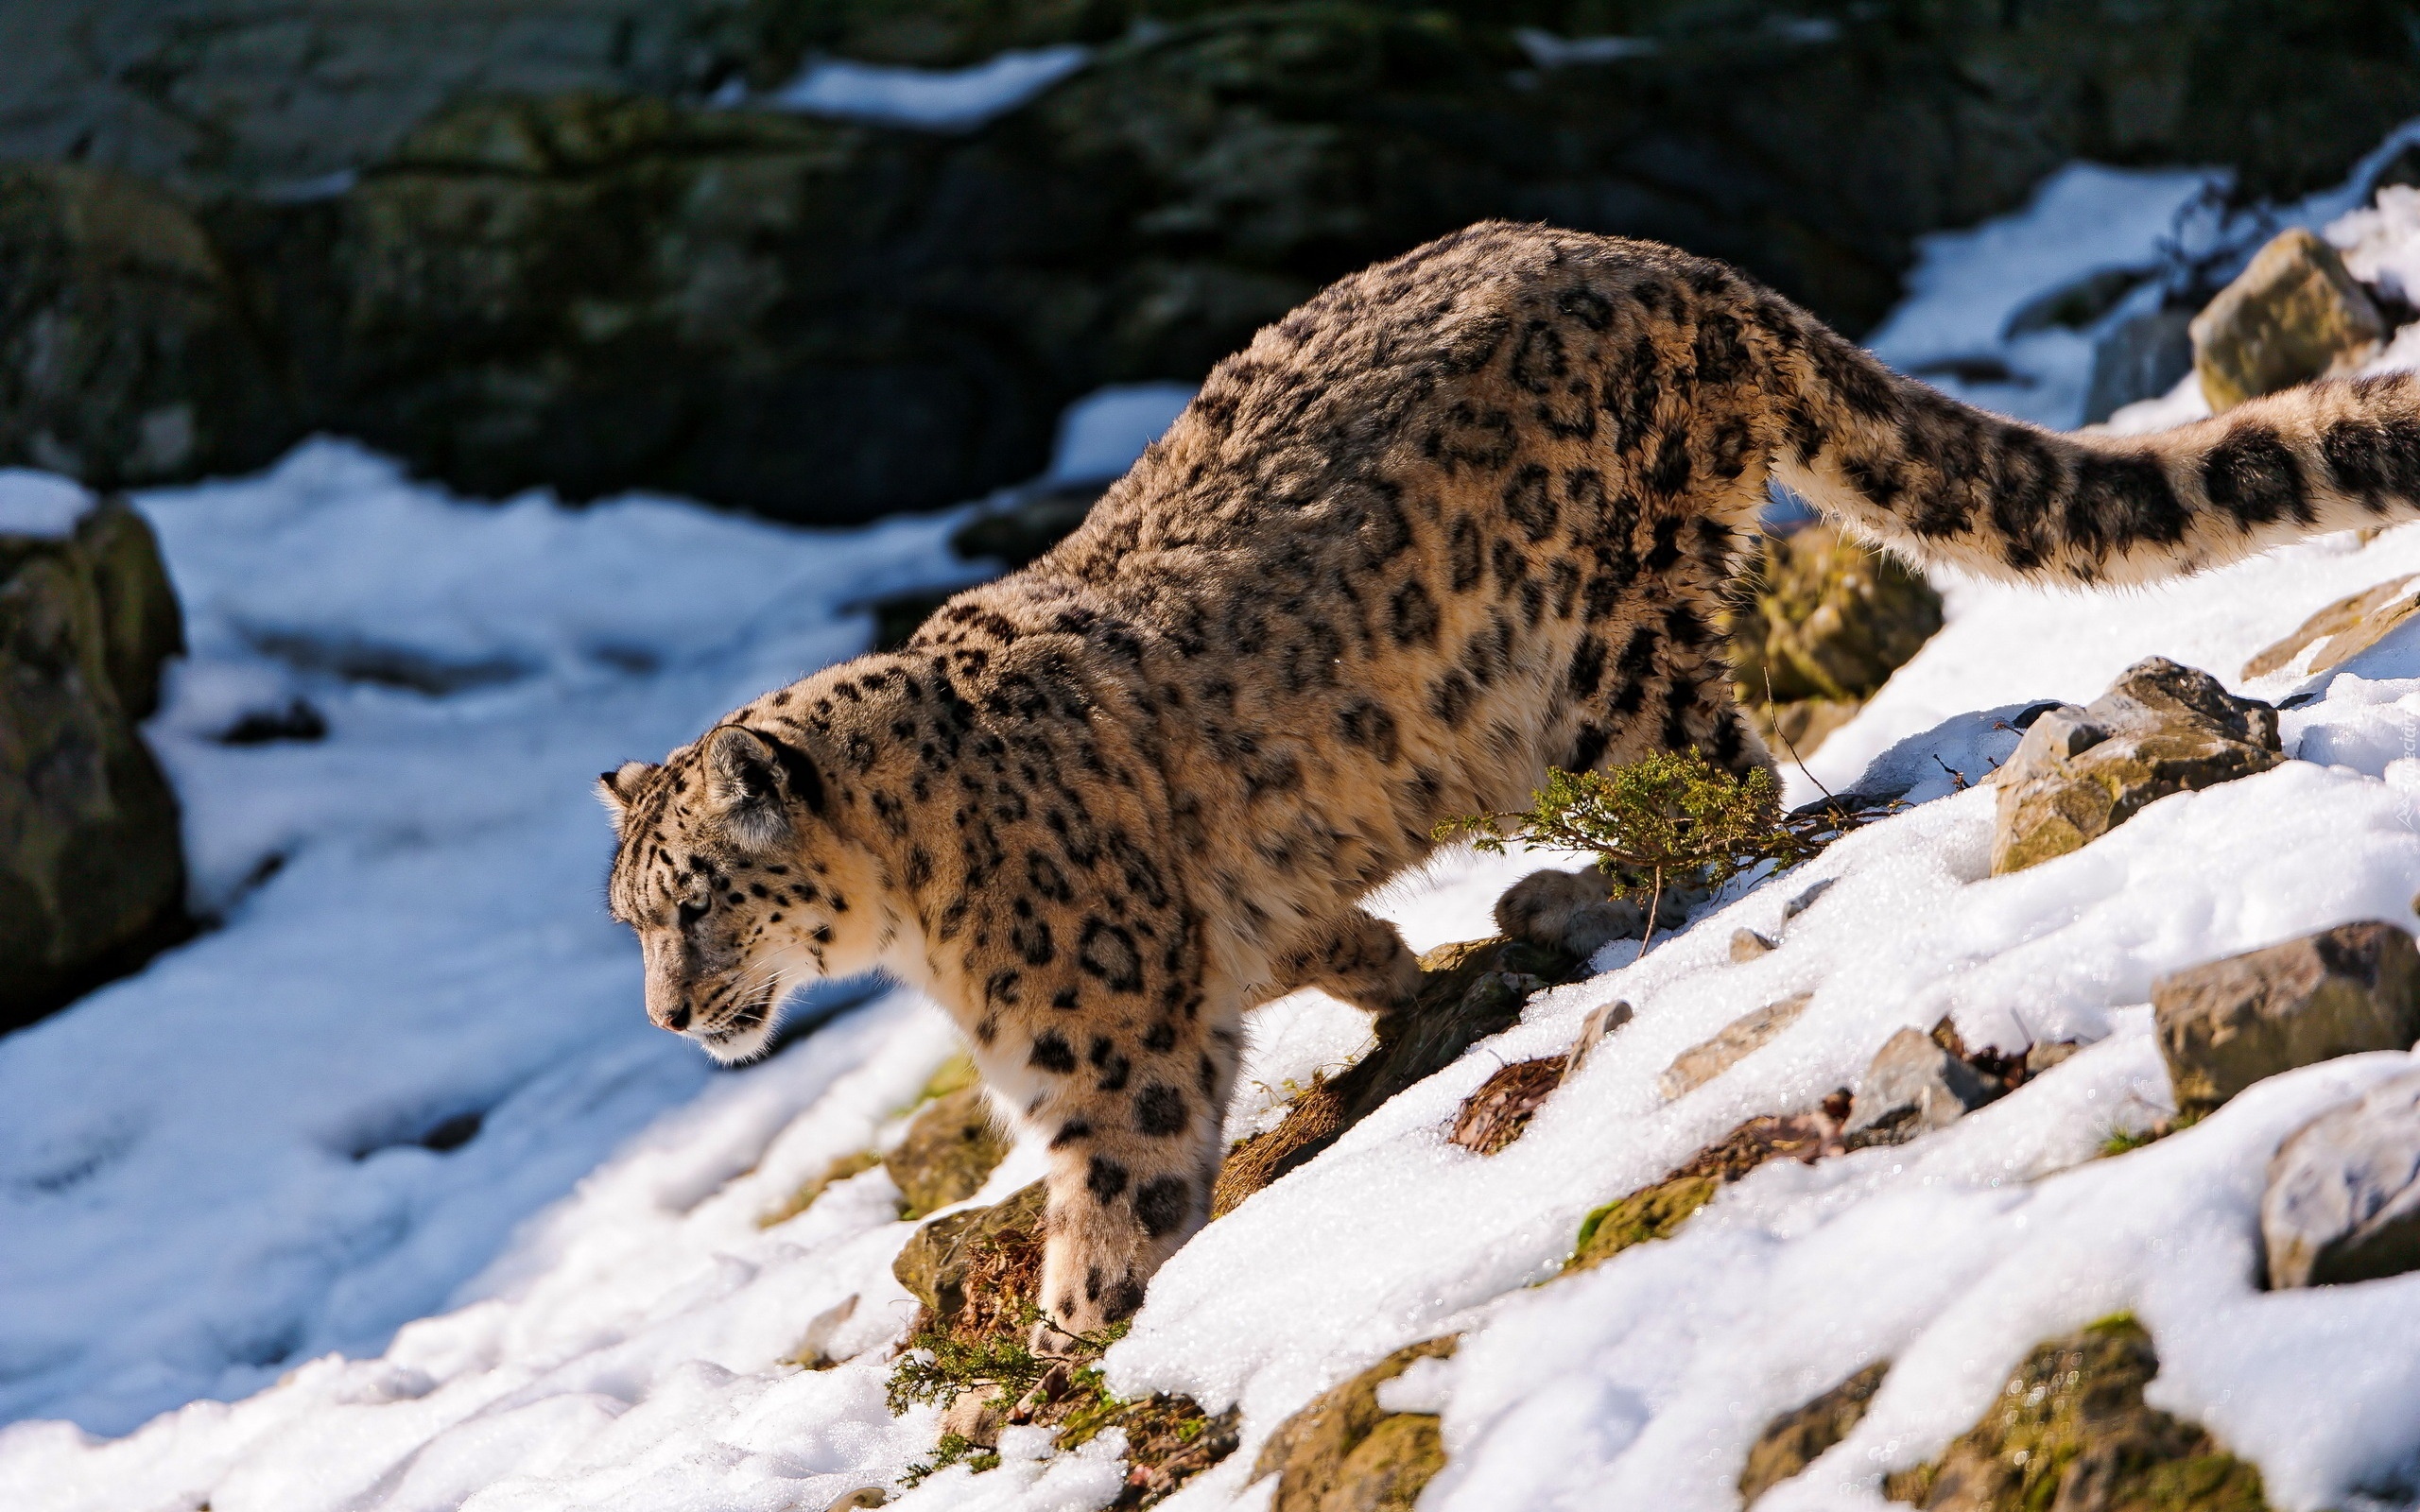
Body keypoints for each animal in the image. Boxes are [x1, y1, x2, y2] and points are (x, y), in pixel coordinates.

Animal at [595, 221, 2410, 1335]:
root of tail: (1673, 262)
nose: (670, 1017)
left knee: (1728, 788)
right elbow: (1313, 937)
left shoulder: (1104, 1052)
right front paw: (1385, 971)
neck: (914, 918)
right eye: (630, 919)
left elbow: (1119, 1193)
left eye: (700, 901)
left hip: (1606, 648)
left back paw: (1567, 891)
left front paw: (1078, 1333)